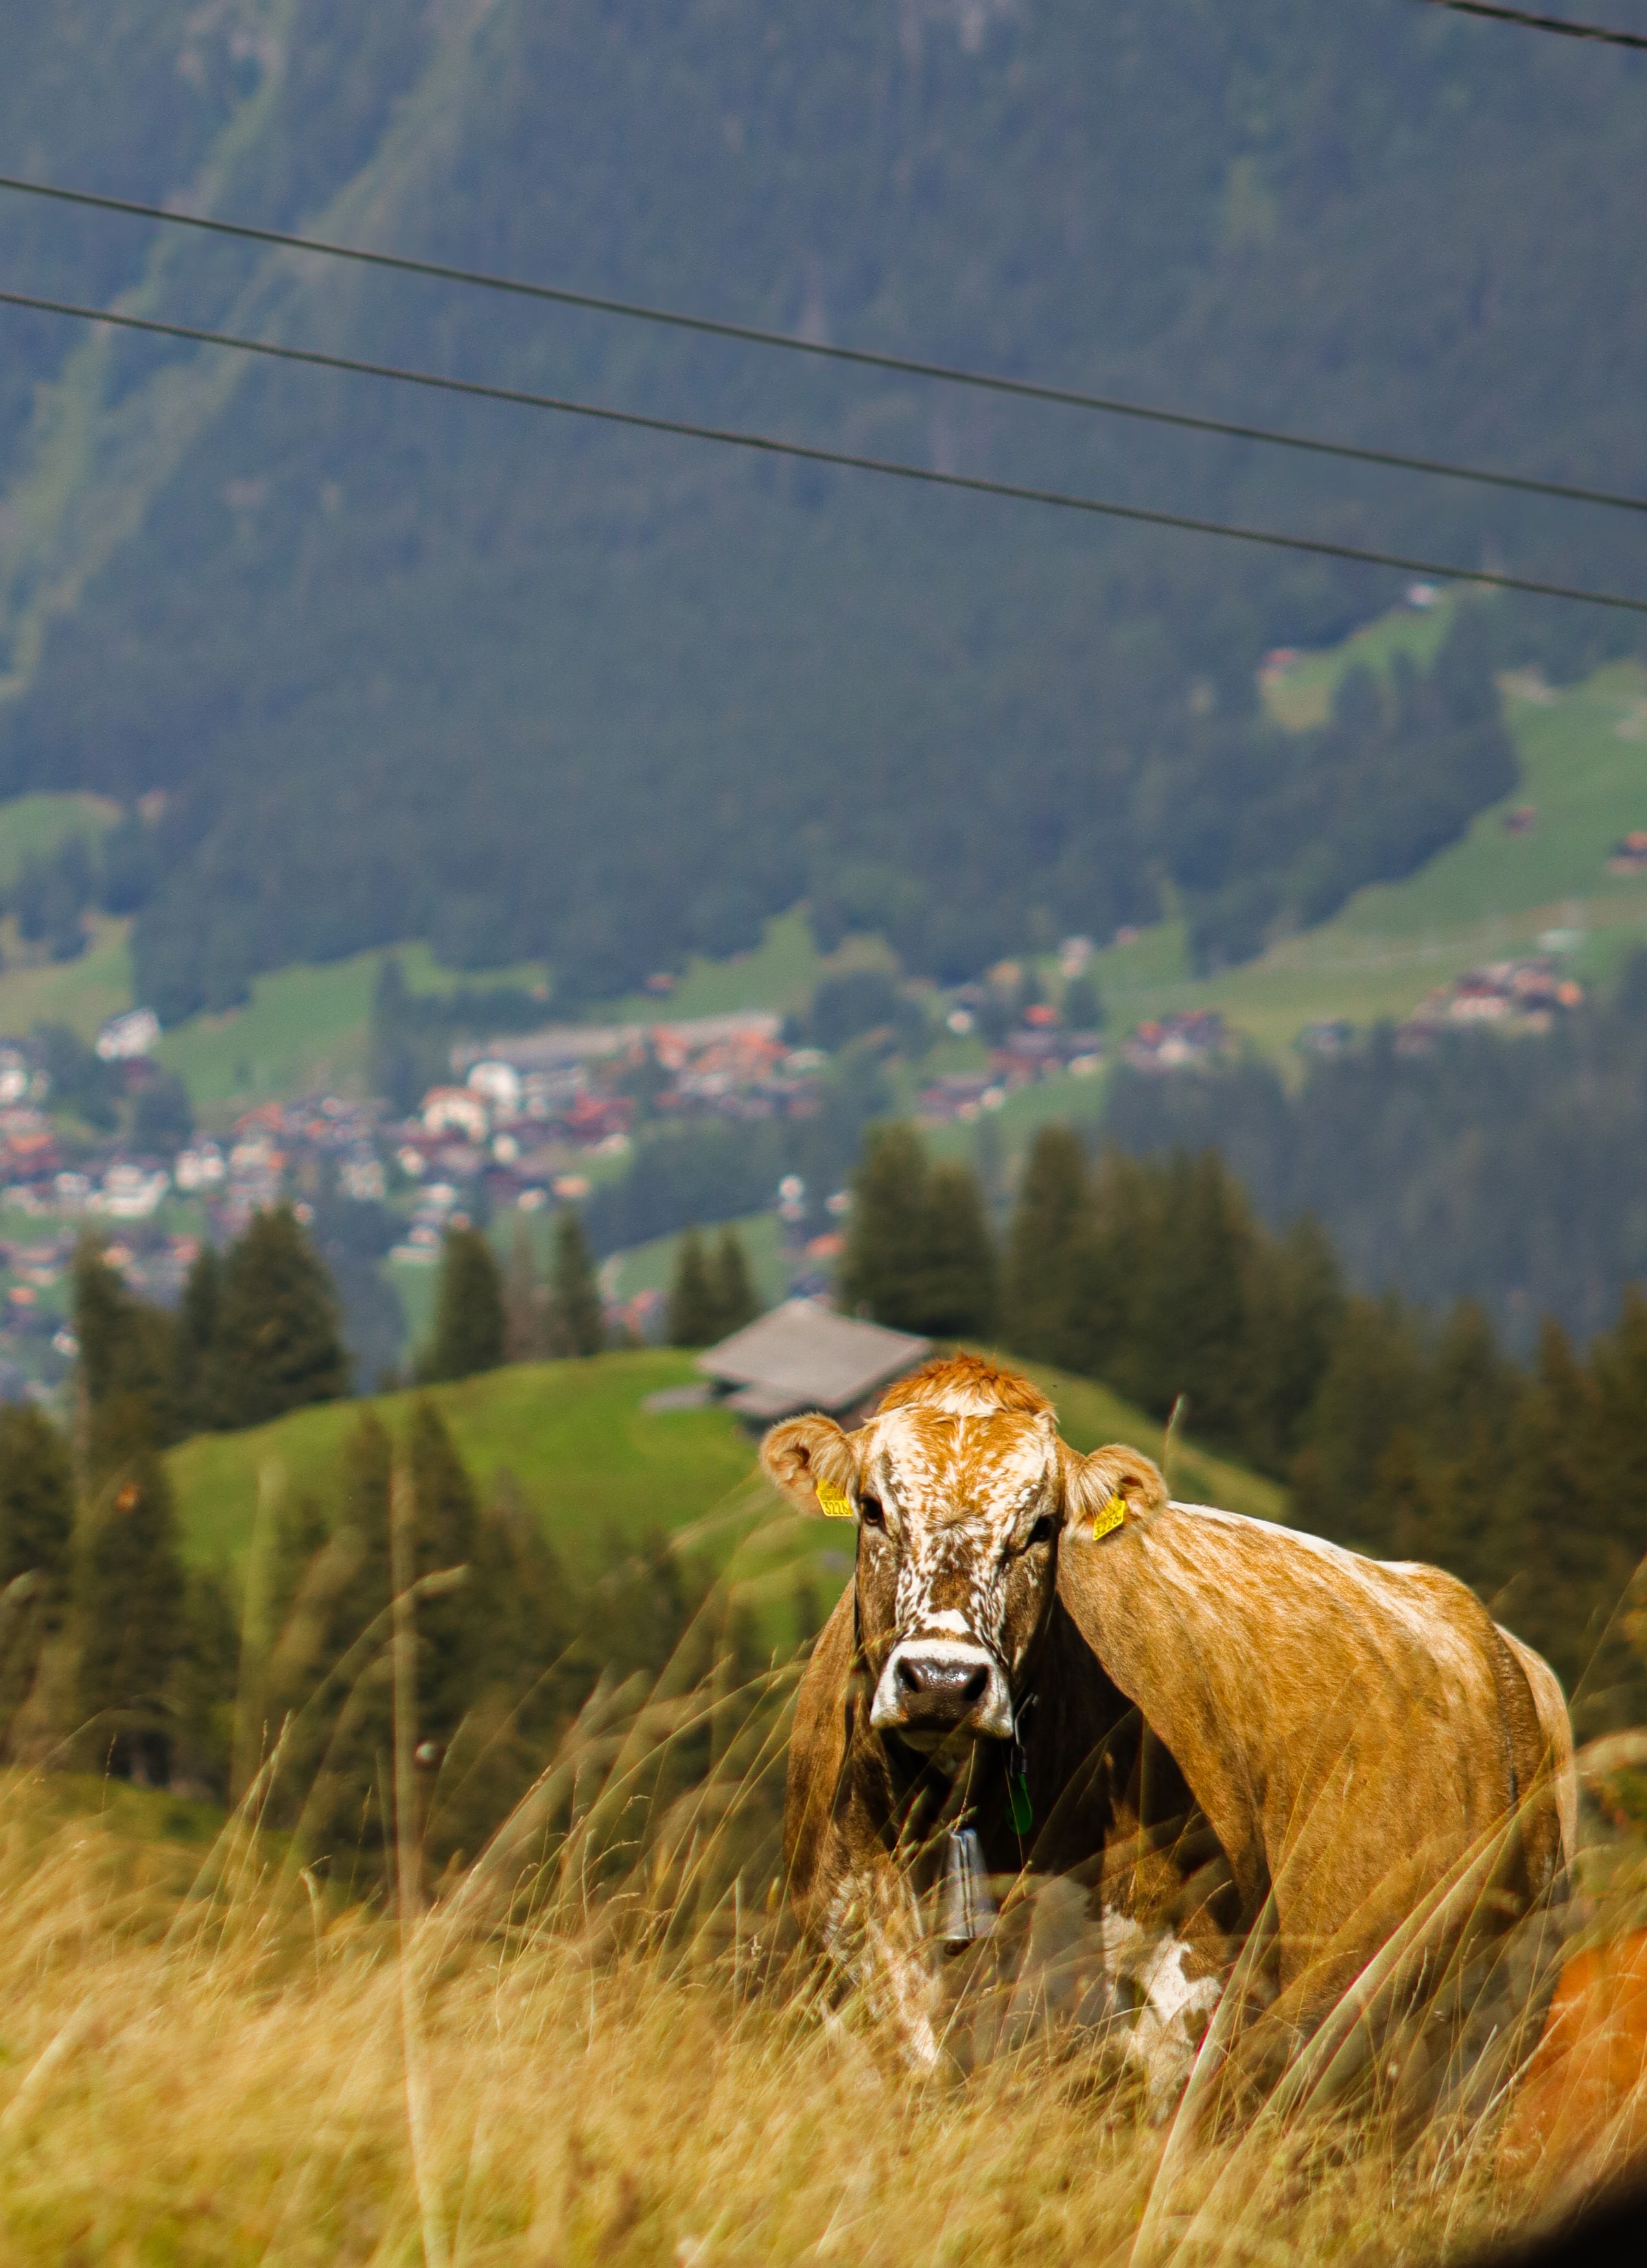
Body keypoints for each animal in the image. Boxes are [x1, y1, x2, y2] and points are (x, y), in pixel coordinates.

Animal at [763, 1352, 1575, 2102]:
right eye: (873, 1508)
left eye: (1041, 1527)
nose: (942, 1680)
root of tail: (1507, 1650)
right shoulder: (851, 1995)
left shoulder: (1188, 1993)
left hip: (1486, 2031)